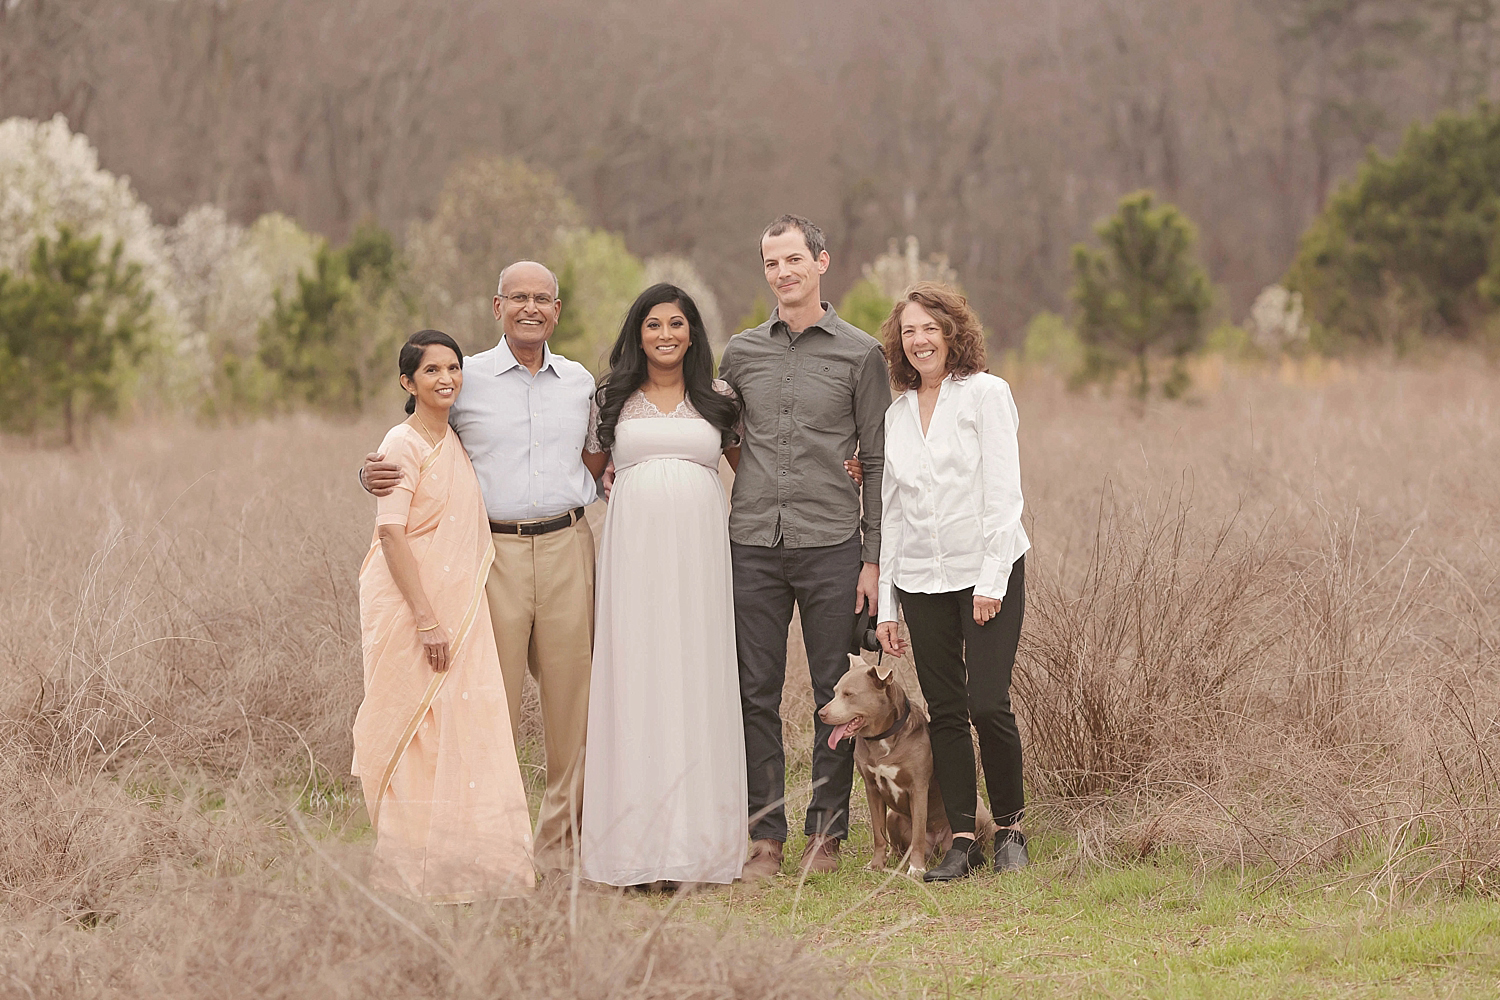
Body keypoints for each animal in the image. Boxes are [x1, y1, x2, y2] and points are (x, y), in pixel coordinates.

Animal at [816, 653, 990, 869]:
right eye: (835, 692)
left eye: (849, 694)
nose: (821, 713)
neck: (882, 737)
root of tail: (937, 849)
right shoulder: (871, 788)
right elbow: (878, 833)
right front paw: (875, 865)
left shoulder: (918, 788)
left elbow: (918, 834)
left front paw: (915, 868)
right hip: (893, 816)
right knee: (896, 844)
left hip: (980, 812)